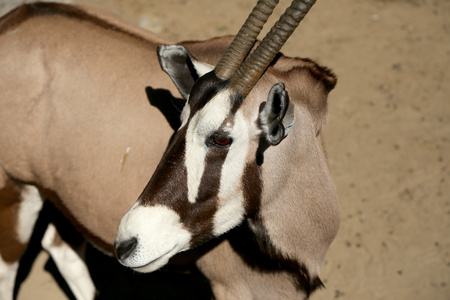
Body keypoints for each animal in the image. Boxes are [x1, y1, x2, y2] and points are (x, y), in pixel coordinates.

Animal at [0, 0, 338, 298]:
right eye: (180, 122)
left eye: (221, 138)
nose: (126, 244)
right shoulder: (240, 287)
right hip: (16, 190)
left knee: (60, 248)